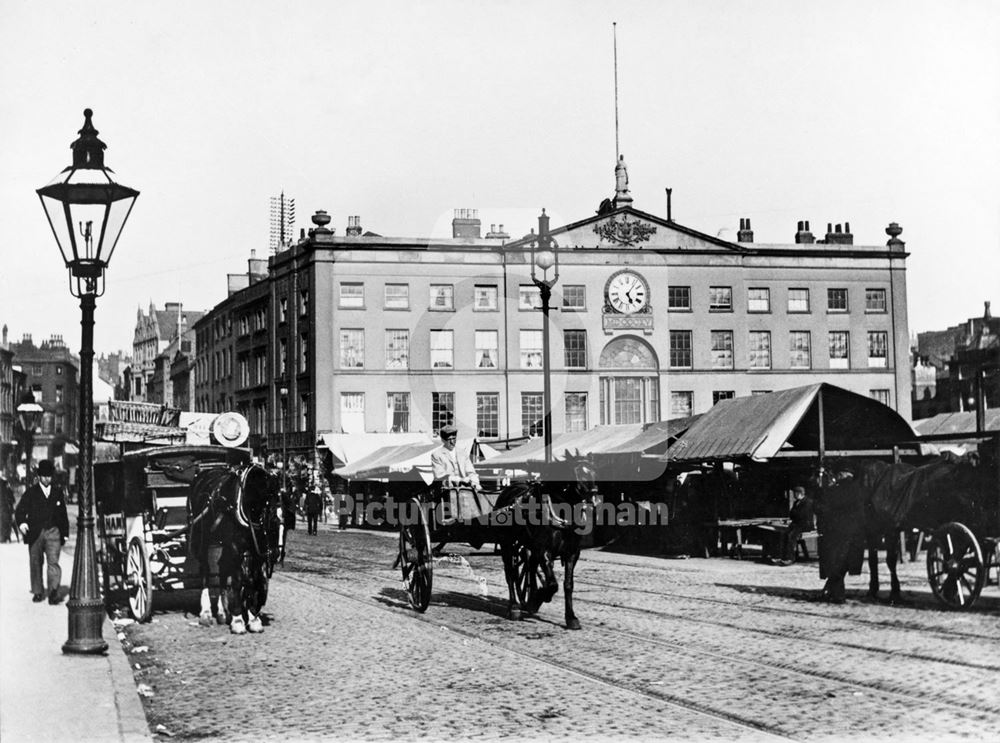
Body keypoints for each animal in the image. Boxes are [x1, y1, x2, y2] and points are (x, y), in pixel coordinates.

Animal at [189, 464, 282, 632]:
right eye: (271, 523)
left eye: (281, 522)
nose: (275, 554)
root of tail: (202, 473)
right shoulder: (235, 548)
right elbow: (238, 580)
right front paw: (238, 619)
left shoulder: (255, 552)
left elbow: (252, 579)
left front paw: (253, 618)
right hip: (202, 540)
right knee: (205, 570)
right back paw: (205, 612)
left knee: (222, 569)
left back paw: (222, 612)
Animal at [498, 456, 596, 632]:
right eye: (576, 472)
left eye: (593, 471)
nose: (593, 493)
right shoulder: (544, 551)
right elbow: (552, 584)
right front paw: (538, 598)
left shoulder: (572, 553)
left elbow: (568, 585)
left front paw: (571, 617)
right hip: (507, 544)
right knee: (510, 574)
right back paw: (514, 607)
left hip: (528, 546)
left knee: (529, 566)